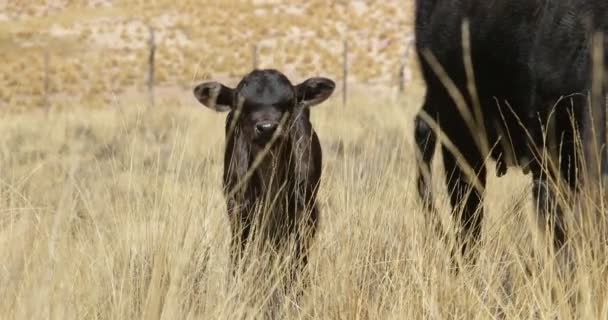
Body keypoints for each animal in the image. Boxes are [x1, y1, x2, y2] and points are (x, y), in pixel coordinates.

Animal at [194, 69, 334, 282]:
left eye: (290, 102)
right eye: (240, 104)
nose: (267, 127)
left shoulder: (304, 207)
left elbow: (298, 257)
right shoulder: (238, 207)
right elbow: (238, 252)